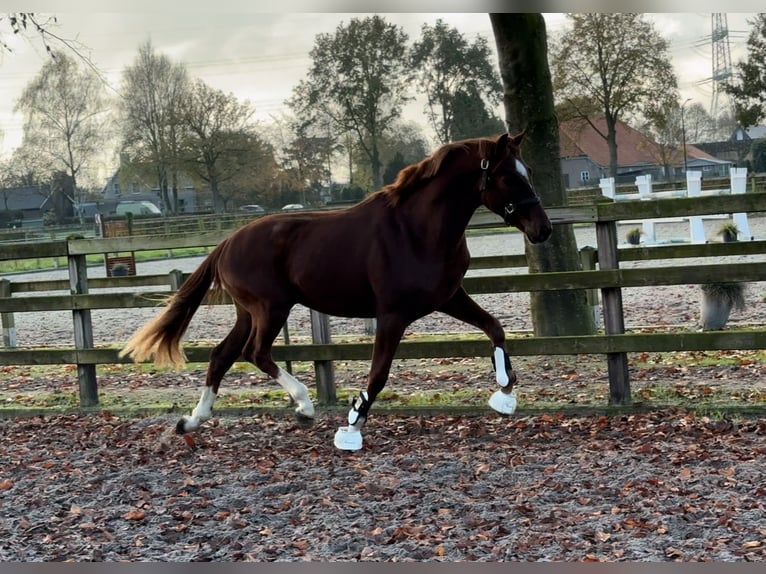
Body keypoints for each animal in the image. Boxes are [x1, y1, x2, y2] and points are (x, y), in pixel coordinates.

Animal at [120, 133, 552, 452]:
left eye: (529, 171)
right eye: (509, 176)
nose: (543, 229)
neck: (417, 229)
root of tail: (227, 242)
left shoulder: (448, 297)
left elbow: (495, 328)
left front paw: (505, 393)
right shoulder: (392, 314)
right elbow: (378, 374)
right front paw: (351, 428)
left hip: (249, 311)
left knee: (222, 355)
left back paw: (192, 420)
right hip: (271, 308)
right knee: (254, 353)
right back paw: (304, 406)